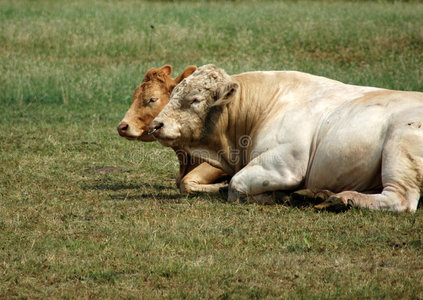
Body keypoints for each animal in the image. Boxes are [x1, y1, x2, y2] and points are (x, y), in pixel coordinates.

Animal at [150, 64, 423, 212]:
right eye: (173, 94)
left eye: (195, 99)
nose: (155, 125)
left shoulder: (285, 164)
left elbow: (236, 186)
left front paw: (277, 196)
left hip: (400, 149)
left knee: (400, 199)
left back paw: (343, 198)